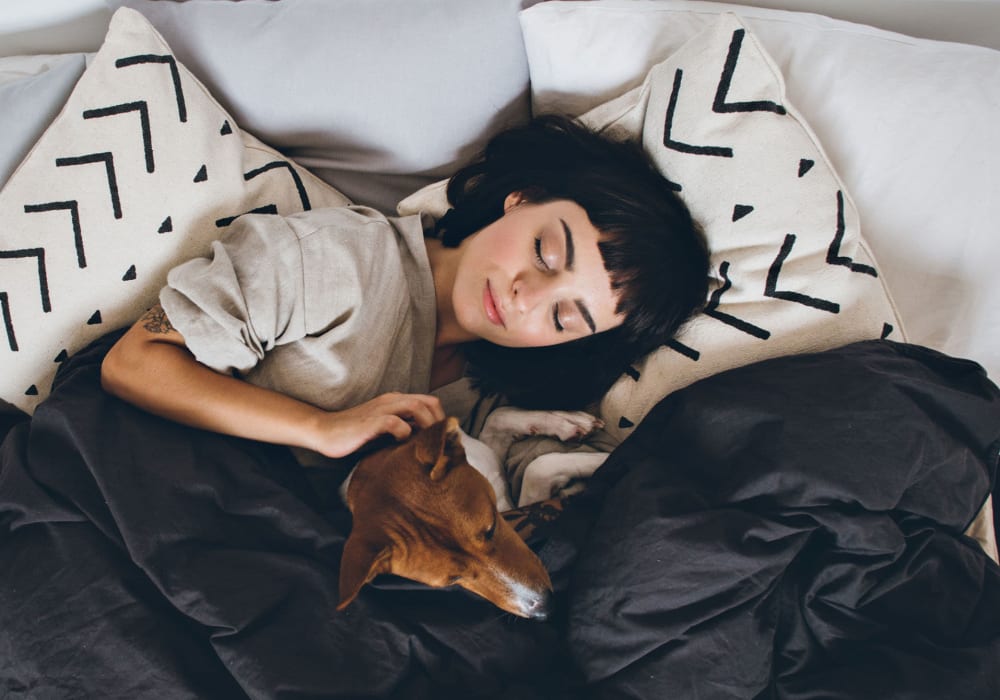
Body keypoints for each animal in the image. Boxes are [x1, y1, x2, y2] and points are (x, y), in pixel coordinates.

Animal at [336, 416, 556, 616]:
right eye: (454, 579)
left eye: (491, 528)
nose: (544, 609)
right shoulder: (516, 507)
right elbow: (537, 471)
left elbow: (498, 418)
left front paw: (562, 422)